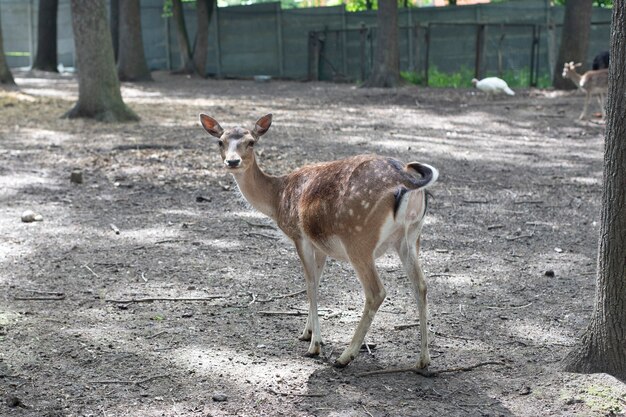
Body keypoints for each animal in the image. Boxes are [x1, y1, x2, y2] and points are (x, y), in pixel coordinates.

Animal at [200, 114, 438, 368]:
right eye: (220, 142)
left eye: (251, 142)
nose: (233, 161)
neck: (277, 198)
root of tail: (406, 181)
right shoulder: (320, 245)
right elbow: (318, 279)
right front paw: (307, 333)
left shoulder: (299, 235)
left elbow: (310, 283)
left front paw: (315, 345)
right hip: (410, 237)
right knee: (421, 285)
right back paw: (423, 361)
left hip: (359, 239)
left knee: (376, 292)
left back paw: (345, 356)